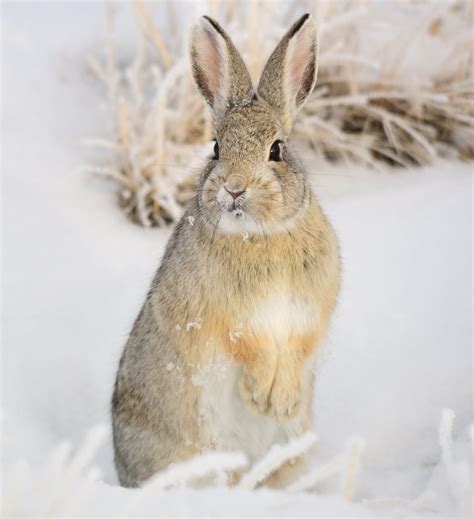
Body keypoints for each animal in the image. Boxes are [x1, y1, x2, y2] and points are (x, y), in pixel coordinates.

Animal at [111, 14, 340, 490]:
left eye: (276, 149)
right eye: (216, 147)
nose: (234, 188)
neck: (262, 235)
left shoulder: (310, 313)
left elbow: (295, 349)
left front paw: (280, 402)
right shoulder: (228, 319)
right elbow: (251, 347)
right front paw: (261, 396)